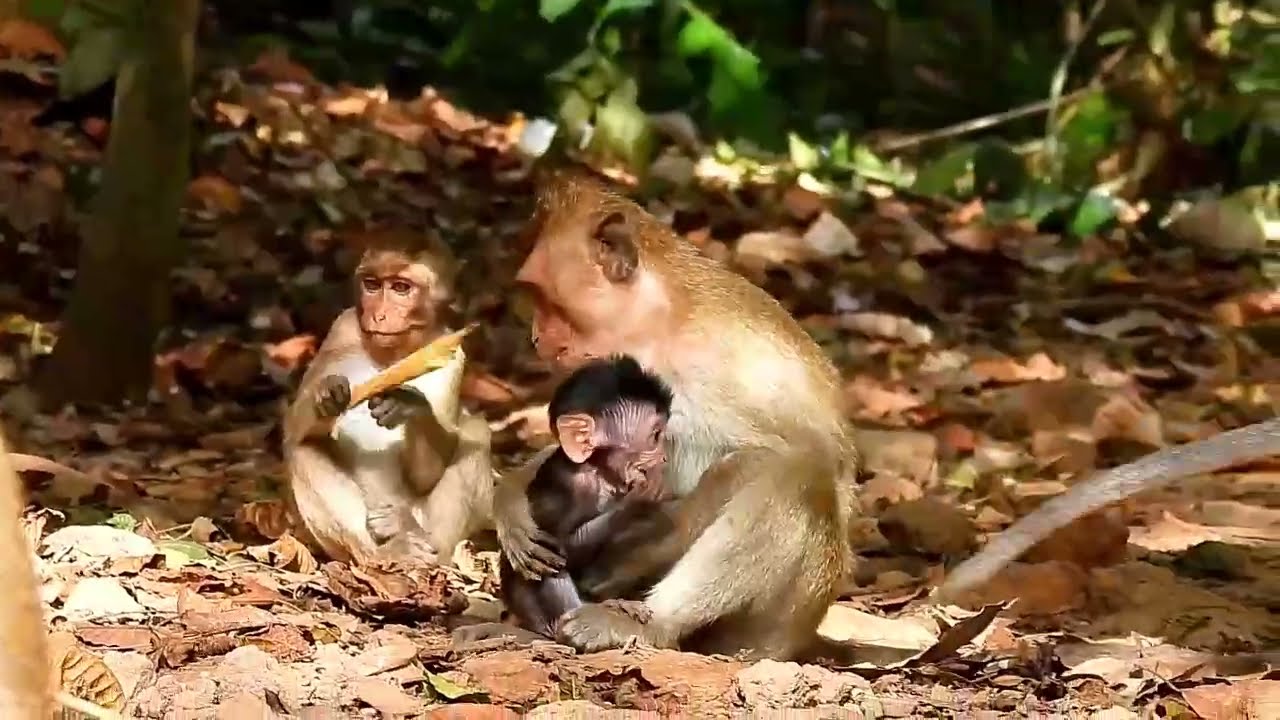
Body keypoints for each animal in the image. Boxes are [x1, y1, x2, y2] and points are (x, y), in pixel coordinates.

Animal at [283, 231, 494, 566]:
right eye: (372, 285)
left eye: (401, 288)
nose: (379, 315)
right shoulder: (342, 328)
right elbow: (295, 430)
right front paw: (327, 395)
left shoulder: (451, 351)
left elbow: (427, 475)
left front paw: (409, 404)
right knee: (305, 450)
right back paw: (386, 552)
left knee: (476, 432)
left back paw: (423, 543)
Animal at [499, 355, 673, 638]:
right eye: (655, 436)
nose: (665, 458)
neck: (597, 471)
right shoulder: (571, 488)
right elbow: (562, 548)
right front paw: (640, 499)